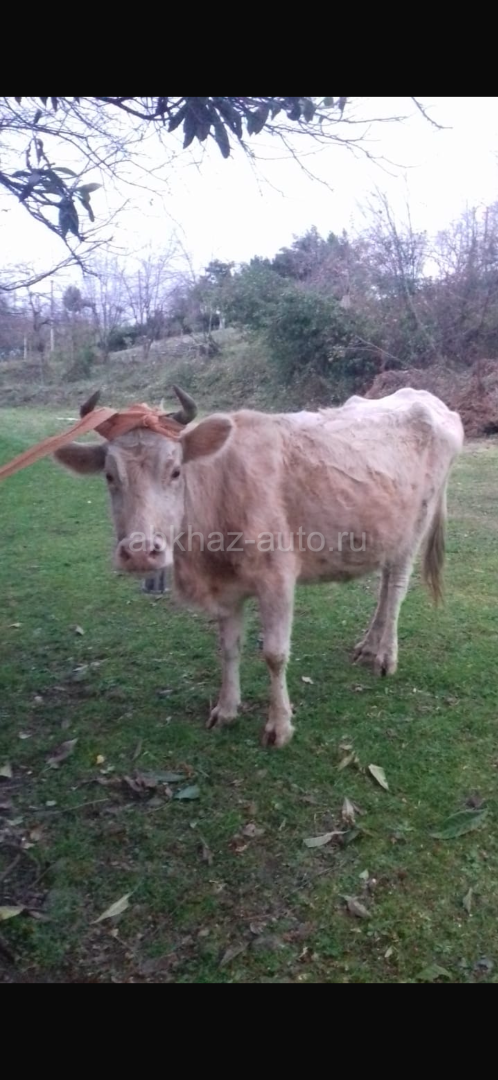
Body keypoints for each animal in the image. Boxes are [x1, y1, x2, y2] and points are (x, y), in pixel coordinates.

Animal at [53, 386, 464, 748]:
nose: (140, 553)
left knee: (396, 588)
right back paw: (368, 645)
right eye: (109, 476)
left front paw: (279, 726)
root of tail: (426, 399)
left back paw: (384, 656)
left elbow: (275, 655)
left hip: (415, 526)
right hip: (383, 531)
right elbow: (228, 648)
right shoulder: (226, 587)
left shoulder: (278, 579)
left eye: (174, 471)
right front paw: (226, 709)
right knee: (384, 584)